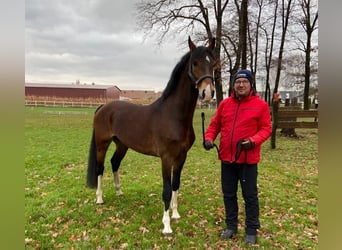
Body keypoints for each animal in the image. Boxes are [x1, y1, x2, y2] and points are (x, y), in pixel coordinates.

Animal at [87, 36, 216, 235]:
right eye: (195, 63)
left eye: (214, 63)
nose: (208, 93)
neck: (174, 115)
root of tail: (103, 107)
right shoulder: (166, 158)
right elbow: (166, 189)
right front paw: (166, 226)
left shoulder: (181, 157)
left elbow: (176, 184)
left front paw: (176, 214)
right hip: (102, 143)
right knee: (100, 169)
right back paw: (100, 198)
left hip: (122, 144)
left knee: (114, 163)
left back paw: (119, 191)